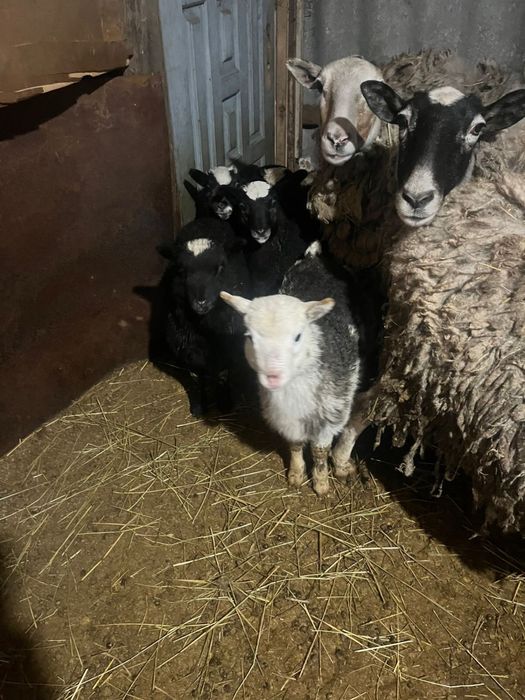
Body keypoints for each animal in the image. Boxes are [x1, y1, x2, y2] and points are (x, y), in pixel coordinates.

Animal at [221, 242, 364, 496]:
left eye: (298, 336)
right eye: (249, 337)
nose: (272, 377)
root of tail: (316, 257)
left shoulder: (332, 413)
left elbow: (319, 451)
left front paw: (321, 483)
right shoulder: (285, 417)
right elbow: (295, 444)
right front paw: (296, 474)